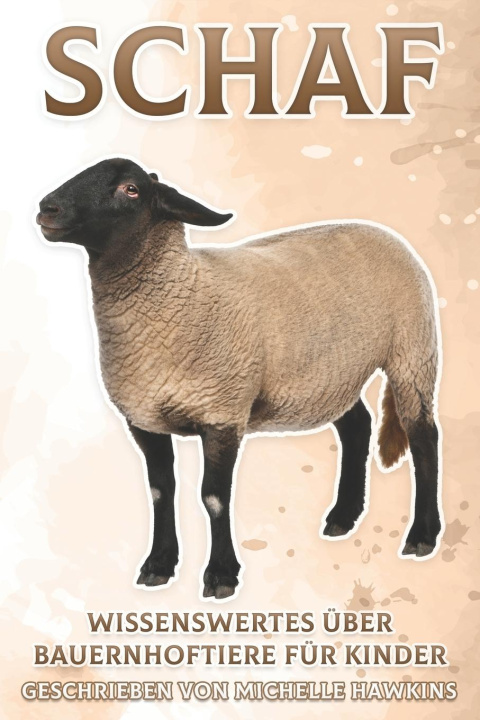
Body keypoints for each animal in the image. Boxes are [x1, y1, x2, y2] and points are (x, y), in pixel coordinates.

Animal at [36, 157, 442, 600]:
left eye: (131, 189)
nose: (47, 209)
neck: (182, 292)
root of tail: (382, 231)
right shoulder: (144, 419)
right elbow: (161, 492)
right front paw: (158, 564)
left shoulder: (223, 412)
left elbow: (213, 497)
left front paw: (221, 575)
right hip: (332, 373)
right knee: (357, 427)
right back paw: (343, 517)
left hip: (412, 352)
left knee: (424, 437)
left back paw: (423, 535)